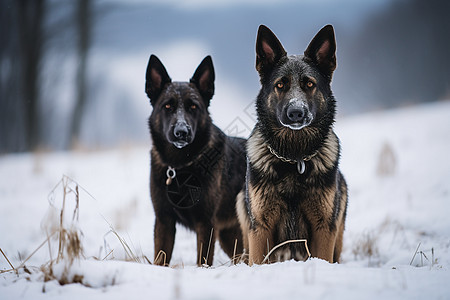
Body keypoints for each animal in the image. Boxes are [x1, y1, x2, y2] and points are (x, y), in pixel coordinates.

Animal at [146, 55, 246, 266]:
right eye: (167, 106)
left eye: (193, 106)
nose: (181, 132)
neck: (181, 165)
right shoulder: (163, 220)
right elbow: (161, 257)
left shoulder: (206, 223)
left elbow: (203, 260)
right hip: (229, 237)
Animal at [237, 25, 350, 264]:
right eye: (280, 84)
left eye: (309, 84)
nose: (296, 112)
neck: (294, 157)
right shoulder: (260, 229)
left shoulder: (323, 229)